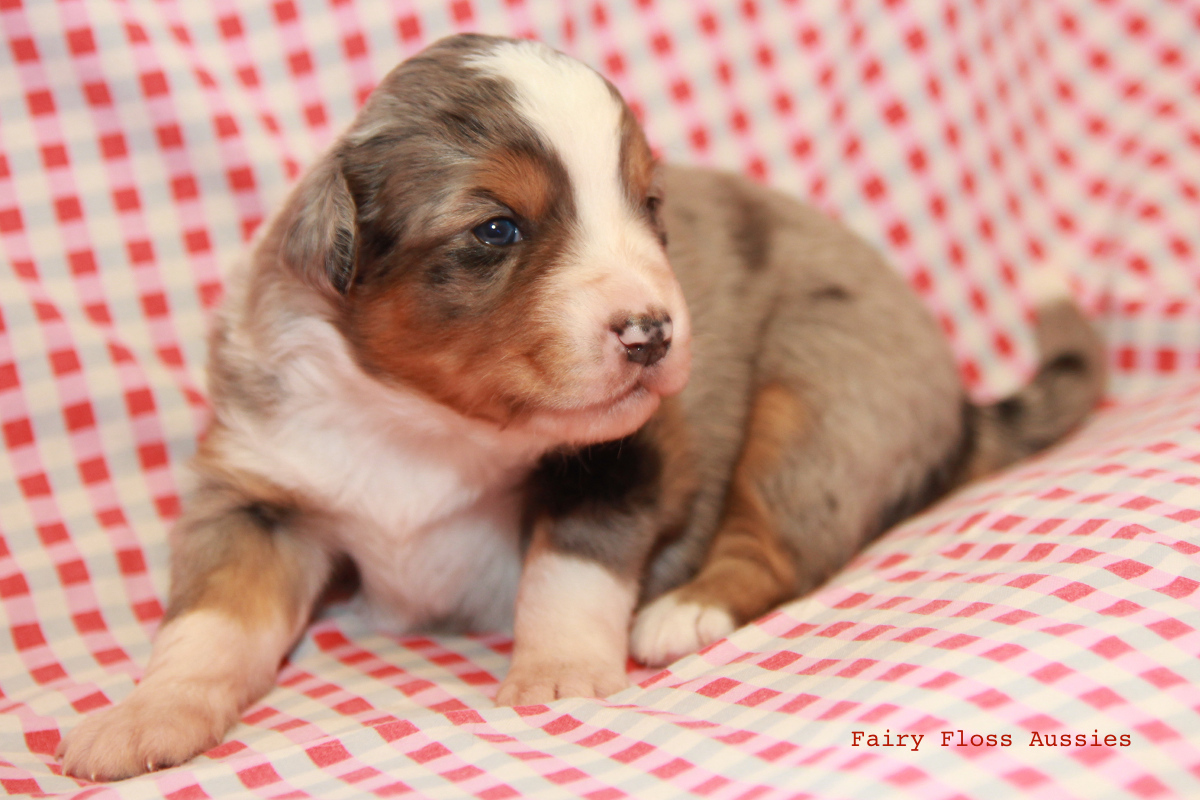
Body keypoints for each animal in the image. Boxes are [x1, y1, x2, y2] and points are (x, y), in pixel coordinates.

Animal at [58, 34, 1104, 777]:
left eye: (649, 205)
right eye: (496, 228)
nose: (652, 333)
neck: (425, 425)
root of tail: (959, 400)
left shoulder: (625, 456)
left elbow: (569, 569)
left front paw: (556, 676)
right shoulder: (258, 491)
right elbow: (210, 620)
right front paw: (143, 719)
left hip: (822, 392)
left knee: (781, 542)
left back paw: (685, 613)